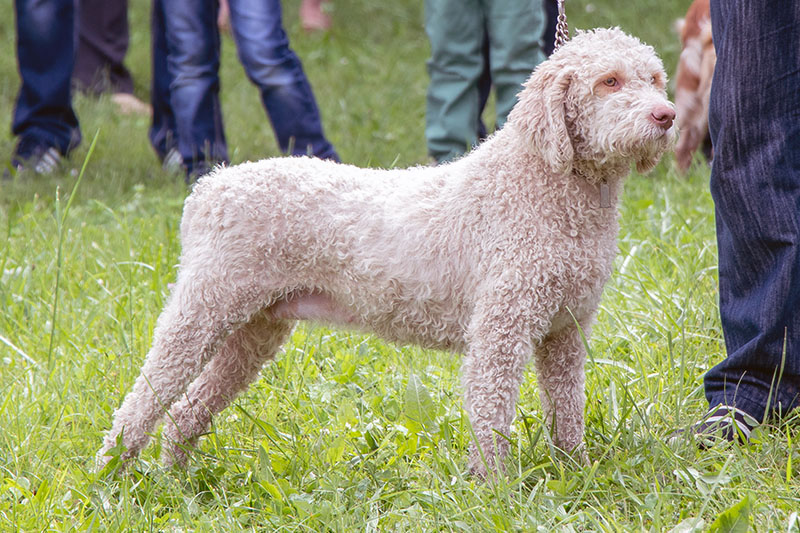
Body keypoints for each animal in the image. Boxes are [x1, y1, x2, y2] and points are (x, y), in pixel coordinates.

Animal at [97, 28, 680, 478]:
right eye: (609, 81)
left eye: (654, 78)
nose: (667, 116)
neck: (544, 187)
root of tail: (209, 188)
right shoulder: (501, 331)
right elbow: (491, 415)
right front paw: (495, 491)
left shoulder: (564, 332)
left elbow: (567, 409)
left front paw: (575, 474)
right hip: (201, 311)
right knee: (141, 403)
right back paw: (110, 478)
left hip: (255, 330)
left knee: (186, 410)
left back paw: (176, 478)